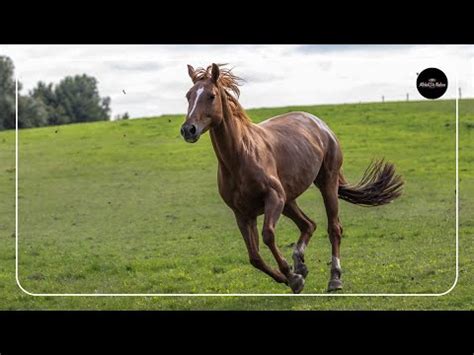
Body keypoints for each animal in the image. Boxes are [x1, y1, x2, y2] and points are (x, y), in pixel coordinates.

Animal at [180, 64, 402, 294]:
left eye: (211, 95)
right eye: (188, 95)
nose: (188, 129)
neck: (240, 155)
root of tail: (320, 124)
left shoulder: (274, 197)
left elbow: (268, 235)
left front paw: (293, 276)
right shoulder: (242, 213)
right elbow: (254, 257)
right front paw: (291, 277)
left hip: (326, 183)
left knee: (334, 228)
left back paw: (334, 279)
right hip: (289, 200)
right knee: (308, 225)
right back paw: (300, 263)